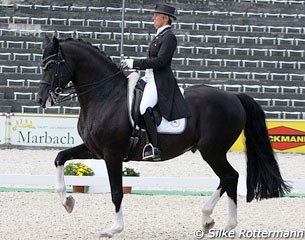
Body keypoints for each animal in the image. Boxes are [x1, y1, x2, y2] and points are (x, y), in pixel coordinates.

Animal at [37, 36, 290, 237]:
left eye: (53, 65)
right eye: (43, 64)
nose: (41, 99)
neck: (106, 95)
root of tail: (234, 97)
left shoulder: (112, 154)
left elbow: (117, 192)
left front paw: (113, 229)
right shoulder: (94, 150)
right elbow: (60, 158)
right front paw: (67, 201)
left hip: (212, 151)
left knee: (230, 176)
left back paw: (222, 223)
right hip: (213, 151)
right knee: (227, 178)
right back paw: (210, 220)